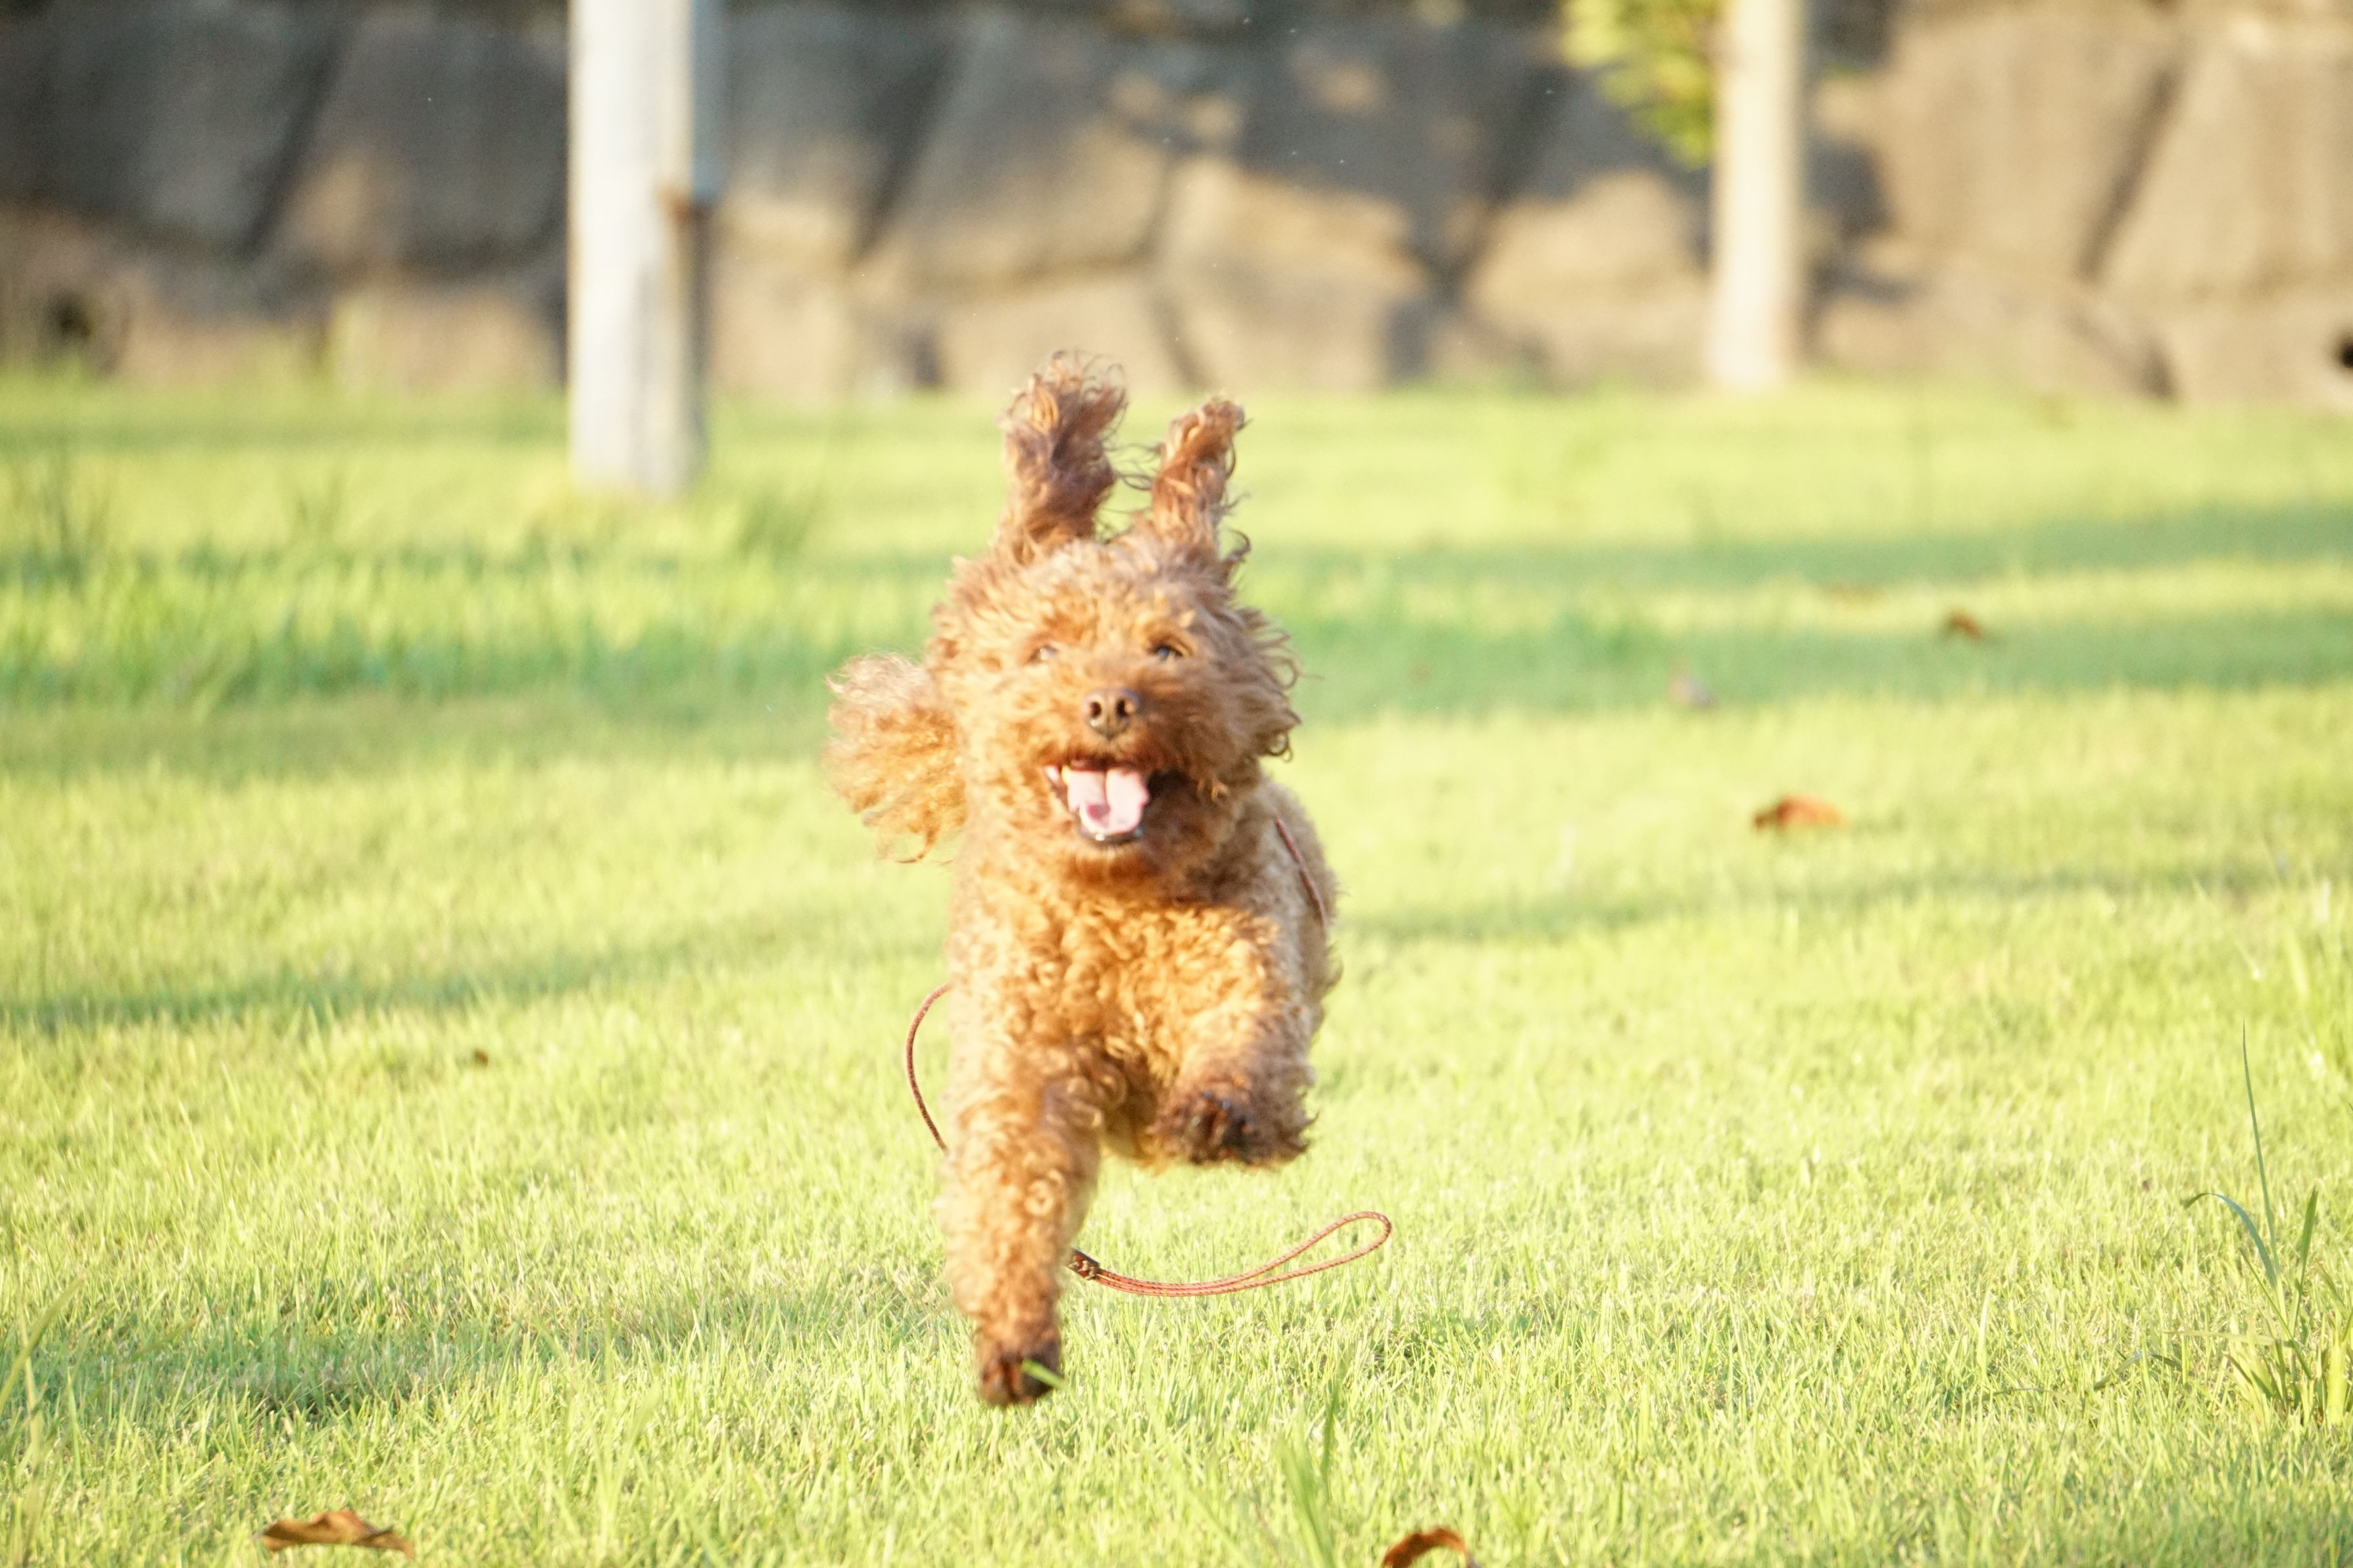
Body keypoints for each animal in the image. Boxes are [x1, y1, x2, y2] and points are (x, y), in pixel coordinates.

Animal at [825, 356, 1339, 1406]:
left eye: (1167, 649)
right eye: (1046, 653)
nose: (1107, 703)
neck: (1115, 900)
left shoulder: (1251, 970)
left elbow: (1244, 1048)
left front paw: (1216, 1115)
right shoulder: (1020, 1066)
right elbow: (1009, 1199)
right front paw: (1013, 1342)